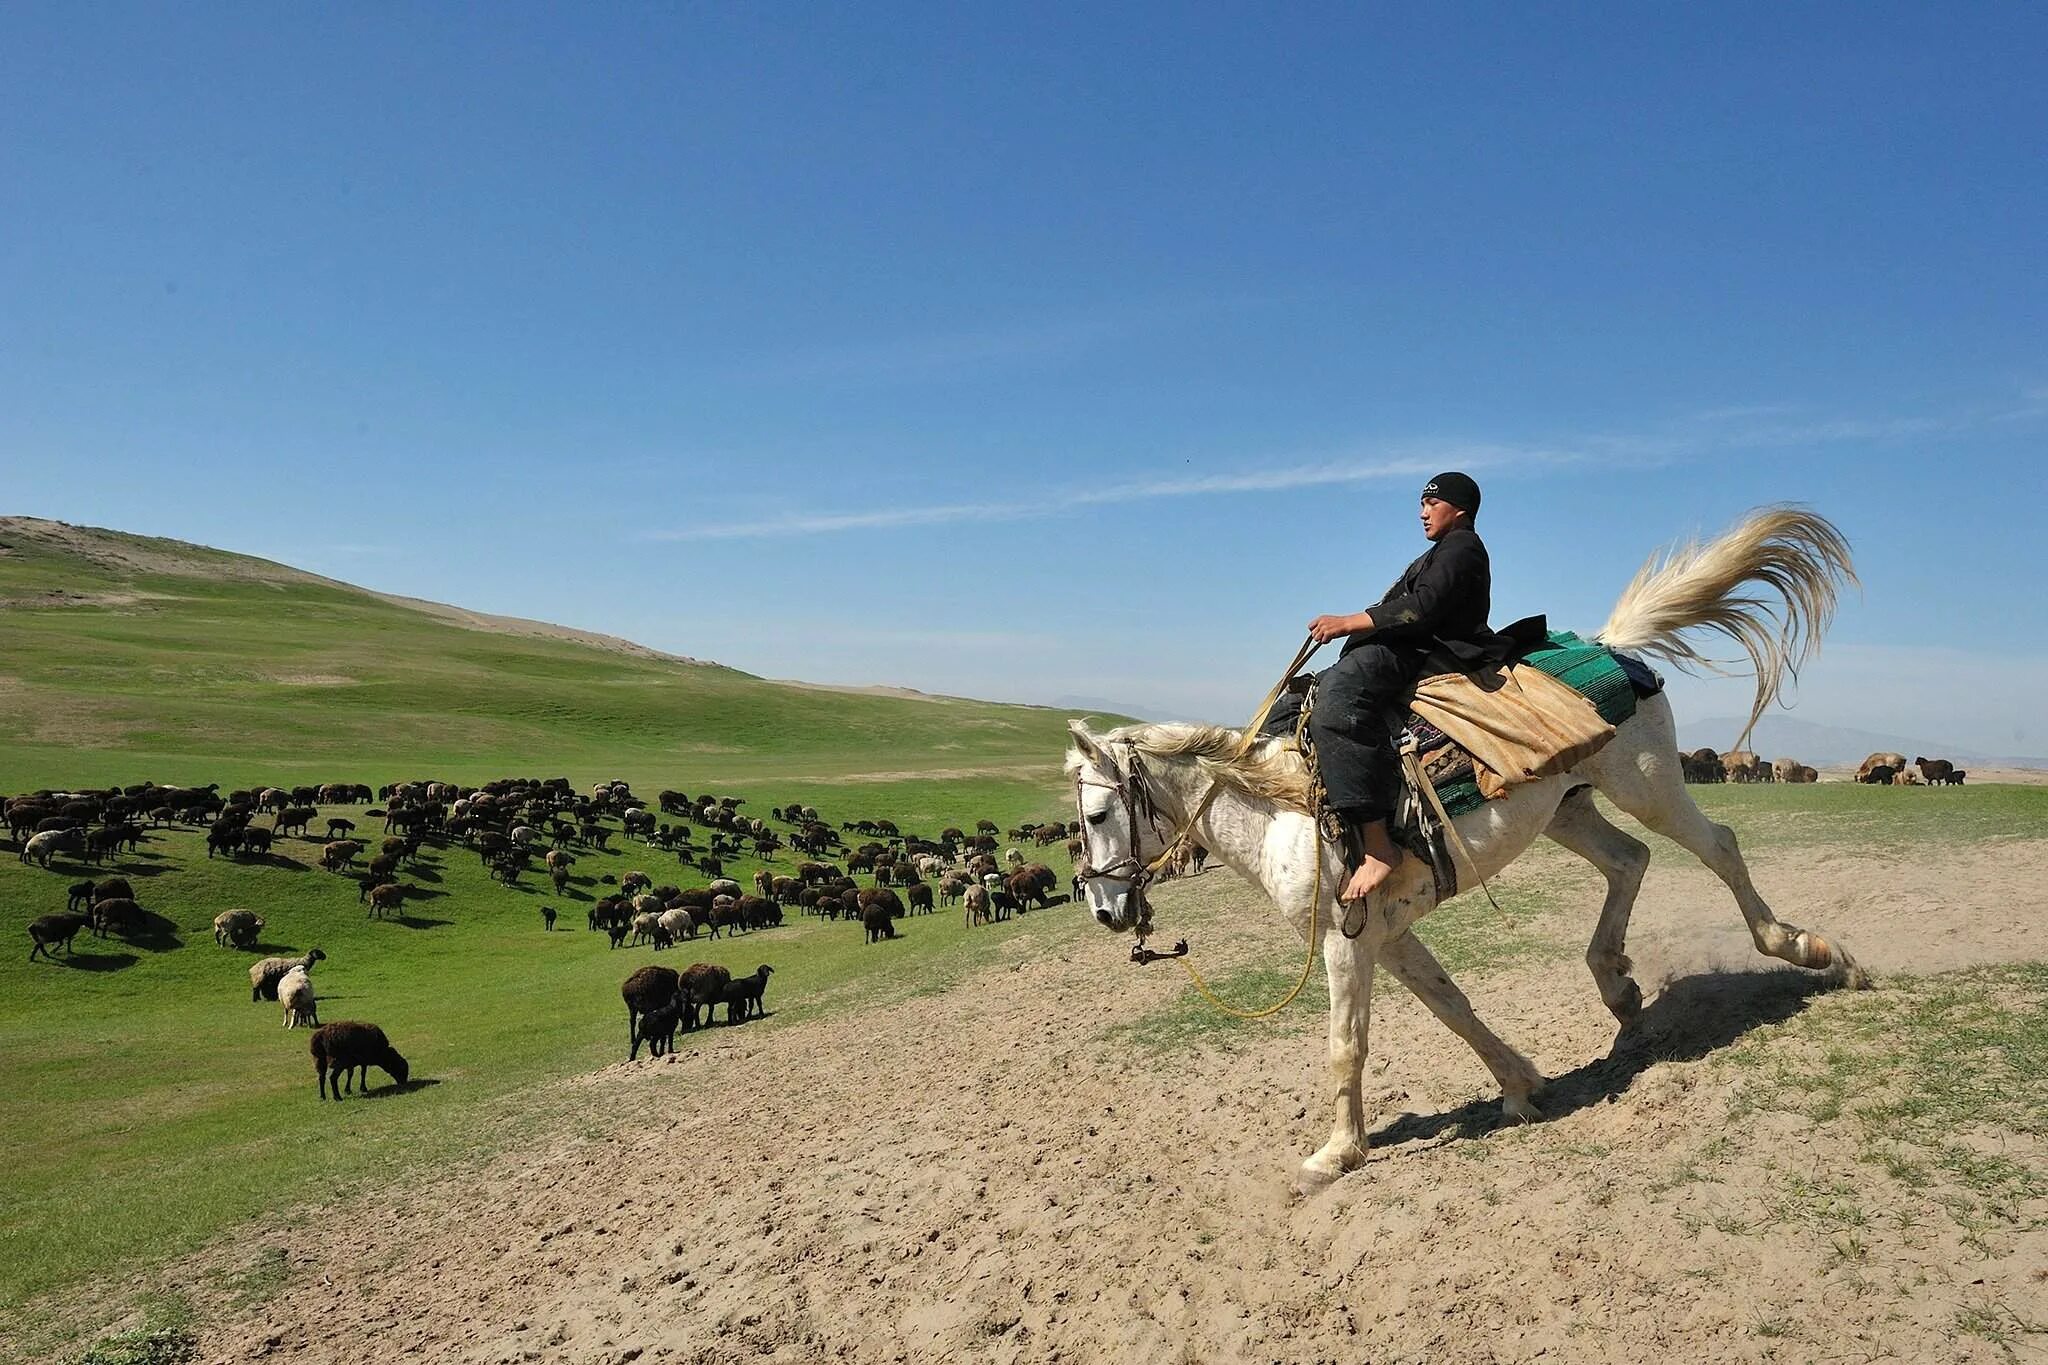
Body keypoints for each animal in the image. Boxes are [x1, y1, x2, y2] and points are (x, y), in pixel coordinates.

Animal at [1073, 507, 1875, 1186]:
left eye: (1099, 812)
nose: (1106, 910)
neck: (1283, 811)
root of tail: (1615, 647)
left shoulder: (1344, 939)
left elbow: (1346, 1043)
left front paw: (1335, 1154)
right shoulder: (1388, 935)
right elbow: (1452, 1005)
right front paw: (1521, 1086)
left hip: (1646, 783)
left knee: (1719, 848)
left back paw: (1817, 953)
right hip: (1569, 810)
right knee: (1630, 862)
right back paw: (1618, 989)